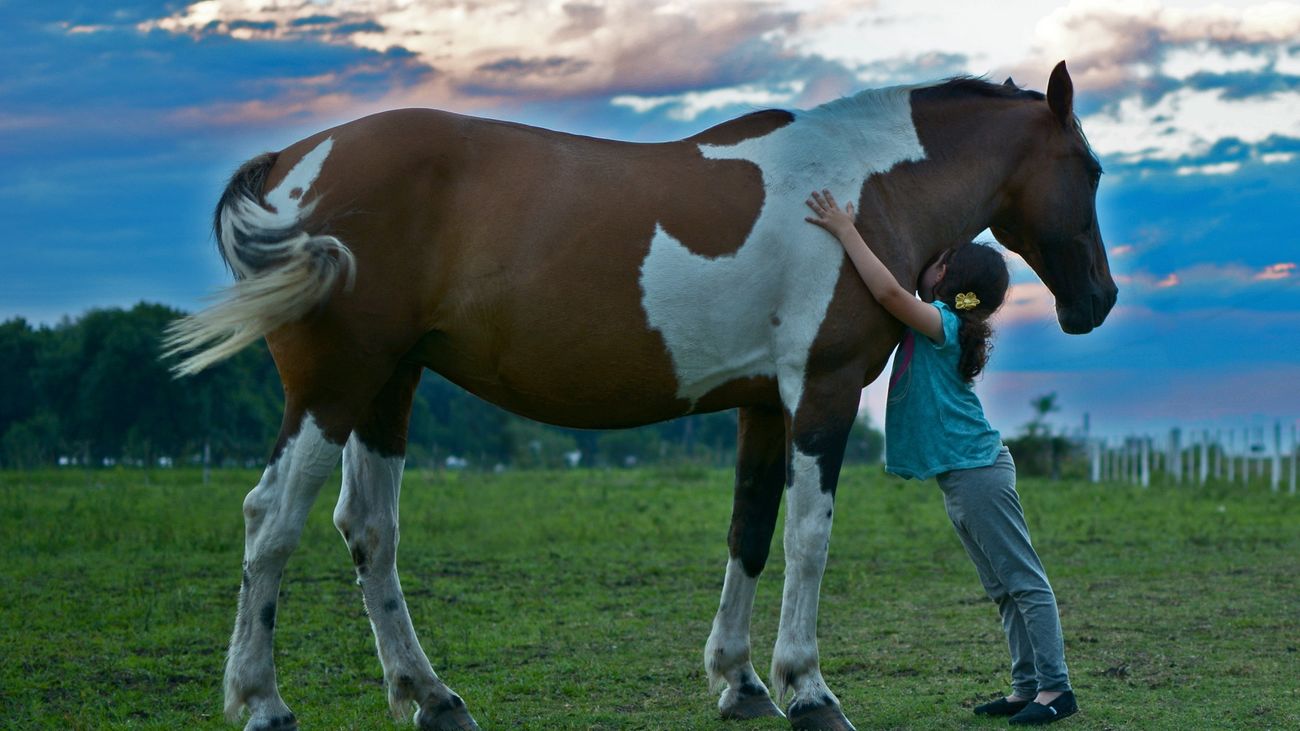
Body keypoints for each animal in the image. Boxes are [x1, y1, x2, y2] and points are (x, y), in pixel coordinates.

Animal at [167, 60, 1116, 731]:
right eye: (1093, 168)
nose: (1098, 301)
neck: (861, 188)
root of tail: (295, 162)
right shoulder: (823, 391)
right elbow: (809, 538)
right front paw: (808, 689)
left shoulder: (762, 404)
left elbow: (751, 532)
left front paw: (740, 682)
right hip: (335, 386)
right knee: (272, 520)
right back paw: (264, 701)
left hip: (387, 387)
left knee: (368, 530)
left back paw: (432, 696)